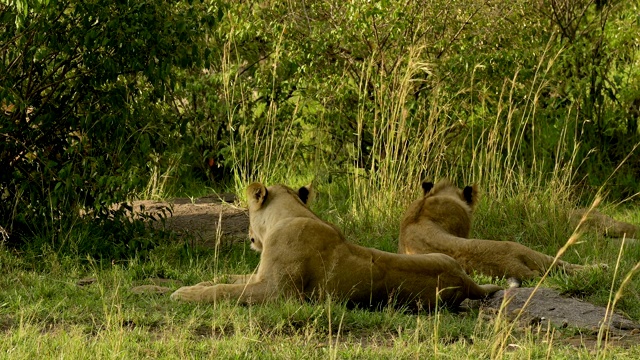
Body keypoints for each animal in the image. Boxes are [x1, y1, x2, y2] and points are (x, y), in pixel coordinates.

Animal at [172, 183, 502, 310]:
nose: (250, 236)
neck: (290, 215)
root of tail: (466, 281)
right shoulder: (259, 277)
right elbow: (225, 279)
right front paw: (196, 284)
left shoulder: (277, 293)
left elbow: (226, 291)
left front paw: (184, 294)